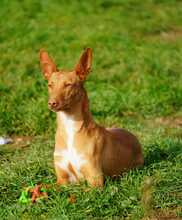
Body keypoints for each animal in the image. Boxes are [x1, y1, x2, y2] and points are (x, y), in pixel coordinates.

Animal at [39, 48, 144, 187]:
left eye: (68, 85)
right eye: (50, 85)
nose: (51, 103)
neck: (69, 127)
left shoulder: (95, 180)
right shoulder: (61, 180)